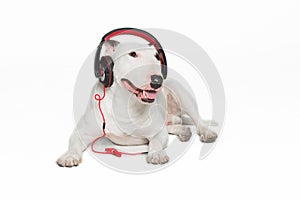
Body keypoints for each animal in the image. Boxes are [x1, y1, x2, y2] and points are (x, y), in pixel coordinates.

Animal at [56, 38, 217, 167]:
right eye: (133, 54)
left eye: (156, 57)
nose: (158, 80)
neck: (125, 105)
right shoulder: (82, 131)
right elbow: (74, 142)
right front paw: (69, 156)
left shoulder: (157, 131)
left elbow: (156, 141)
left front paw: (156, 154)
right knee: (174, 124)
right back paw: (184, 131)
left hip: (183, 95)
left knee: (198, 120)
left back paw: (206, 132)